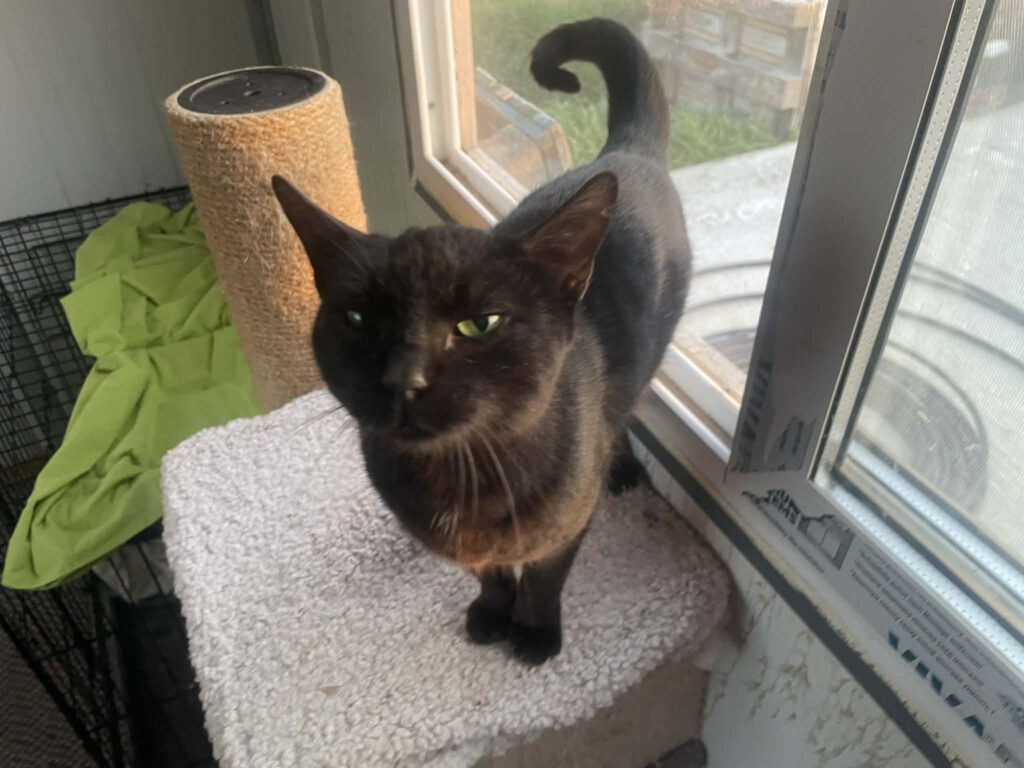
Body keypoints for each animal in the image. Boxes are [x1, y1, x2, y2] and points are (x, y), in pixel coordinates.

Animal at [273, 18, 690, 665]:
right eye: (362, 318)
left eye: (480, 324)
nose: (404, 379)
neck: (463, 476)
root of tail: (624, 151)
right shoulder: (462, 548)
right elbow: (489, 574)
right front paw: (492, 615)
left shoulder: (565, 526)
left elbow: (543, 578)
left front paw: (534, 634)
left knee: (628, 409)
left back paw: (621, 470)